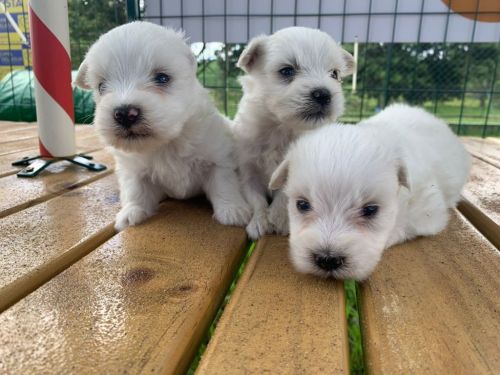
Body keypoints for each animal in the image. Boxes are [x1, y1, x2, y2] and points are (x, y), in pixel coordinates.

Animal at [75, 22, 250, 232]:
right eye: (101, 86)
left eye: (162, 78)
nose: (125, 114)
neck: (167, 142)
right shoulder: (133, 170)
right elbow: (135, 191)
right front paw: (131, 212)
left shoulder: (218, 159)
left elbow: (224, 184)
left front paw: (233, 210)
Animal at [234, 26, 356, 239]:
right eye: (287, 70)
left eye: (334, 74)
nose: (324, 94)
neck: (281, 127)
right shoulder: (247, 170)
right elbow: (257, 199)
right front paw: (259, 222)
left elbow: (284, 195)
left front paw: (279, 219)